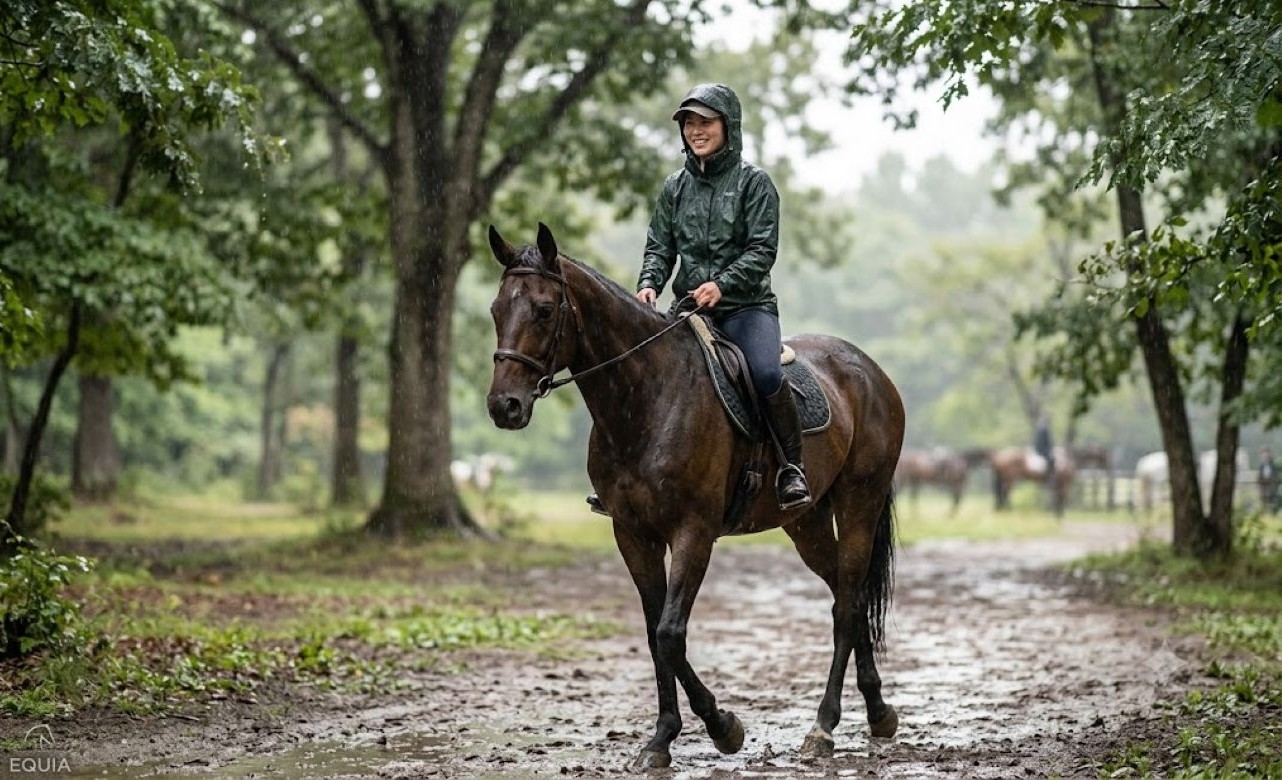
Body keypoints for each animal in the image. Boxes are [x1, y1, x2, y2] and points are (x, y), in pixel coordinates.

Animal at [485, 224, 905, 769]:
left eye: (542, 309)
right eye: (496, 309)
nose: (504, 406)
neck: (649, 396)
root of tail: (870, 372)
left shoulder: (693, 532)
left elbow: (670, 634)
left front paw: (723, 727)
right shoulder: (633, 534)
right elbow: (653, 634)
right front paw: (662, 738)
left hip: (859, 503)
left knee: (848, 605)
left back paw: (824, 727)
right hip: (807, 523)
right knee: (845, 595)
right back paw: (877, 710)